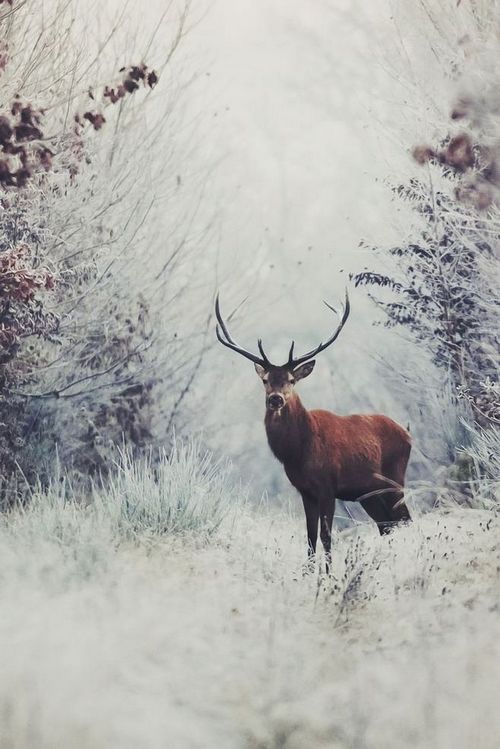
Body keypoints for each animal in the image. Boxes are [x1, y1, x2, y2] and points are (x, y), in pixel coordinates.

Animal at [217, 290, 412, 568]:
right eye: (265, 380)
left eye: (291, 379)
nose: (275, 399)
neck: (299, 452)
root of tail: (408, 433)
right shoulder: (305, 491)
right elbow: (309, 537)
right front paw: (309, 572)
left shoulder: (328, 486)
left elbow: (326, 536)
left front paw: (328, 574)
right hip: (369, 493)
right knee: (387, 525)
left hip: (395, 479)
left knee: (404, 520)